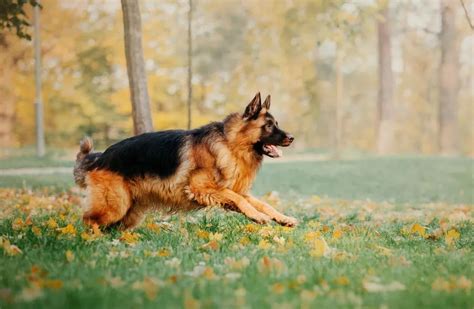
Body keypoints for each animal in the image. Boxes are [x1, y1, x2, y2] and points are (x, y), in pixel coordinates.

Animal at [73, 92, 296, 229]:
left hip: (129, 212)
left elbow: (263, 204)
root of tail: (100, 157)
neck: (230, 143)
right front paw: (257, 217)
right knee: (88, 220)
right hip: (115, 206)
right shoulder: (201, 188)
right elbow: (239, 199)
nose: (292, 138)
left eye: (276, 123)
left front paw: (282, 218)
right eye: (269, 126)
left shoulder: (233, 191)